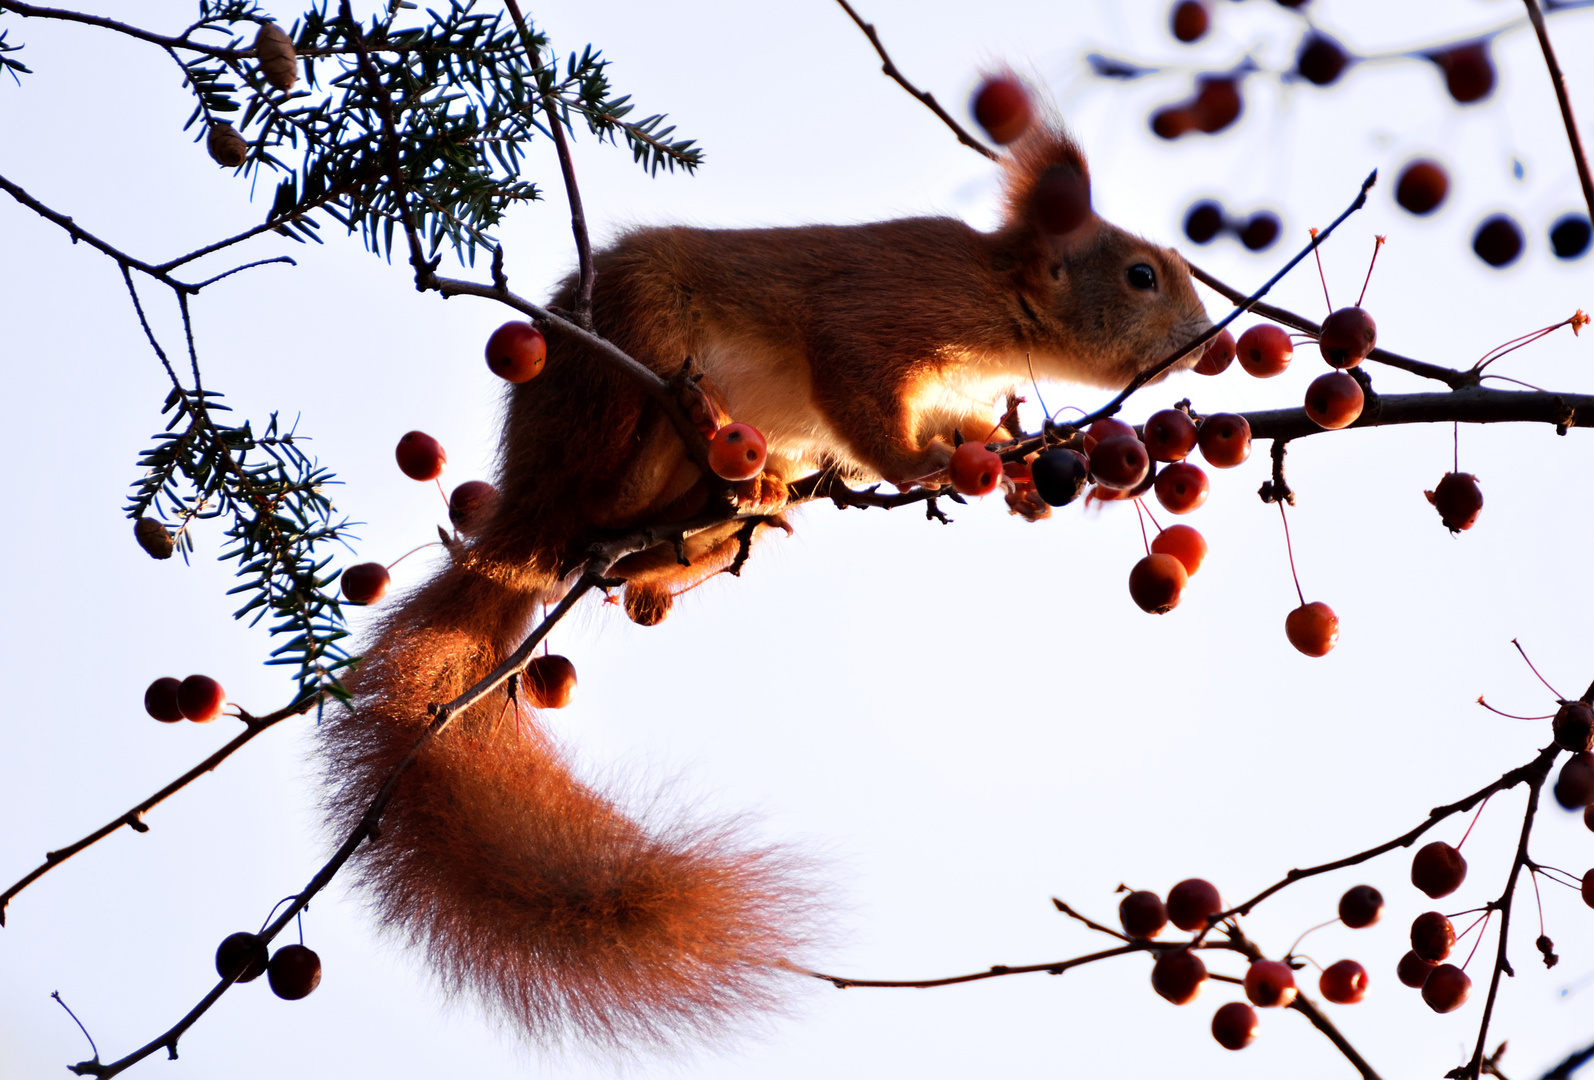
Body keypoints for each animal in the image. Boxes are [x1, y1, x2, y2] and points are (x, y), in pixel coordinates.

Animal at [329, 122, 1211, 1051]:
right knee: (596, 495)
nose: (1206, 339)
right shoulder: (880, 317)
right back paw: (688, 448)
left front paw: (1007, 461)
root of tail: (524, 507)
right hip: (622, 367)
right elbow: (863, 404)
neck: (1003, 302)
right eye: (1141, 276)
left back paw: (724, 521)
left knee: (631, 544)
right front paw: (923, 463)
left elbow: (963, 422)